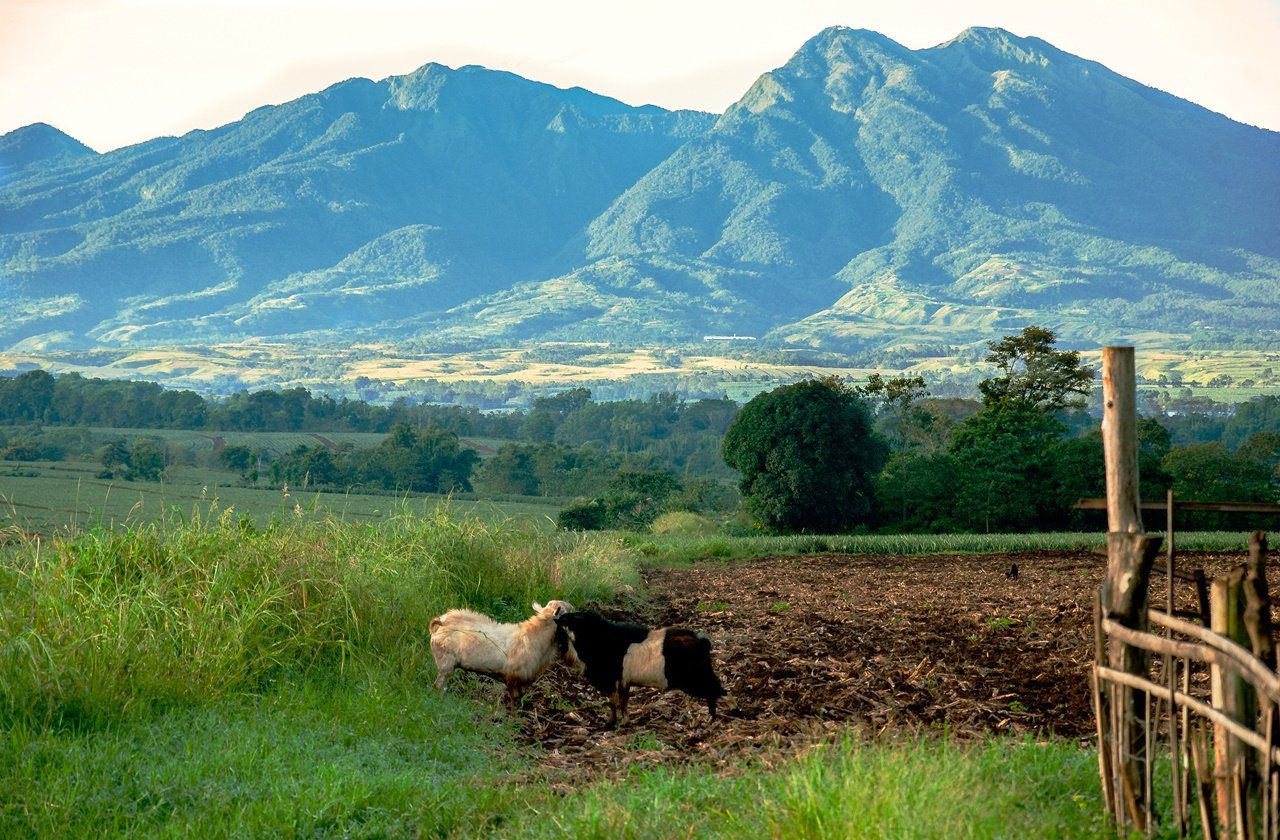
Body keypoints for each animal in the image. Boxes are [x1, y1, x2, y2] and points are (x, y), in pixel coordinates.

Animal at [555, 609, 727, 727]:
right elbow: (623, 702)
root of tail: (701, 641)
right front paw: (624, 722)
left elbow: (613, 703)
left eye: (569, 622)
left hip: (697, 680)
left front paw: (610, 724)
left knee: (718, 692)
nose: (558, 618)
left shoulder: (611, 681)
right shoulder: (623, 683)